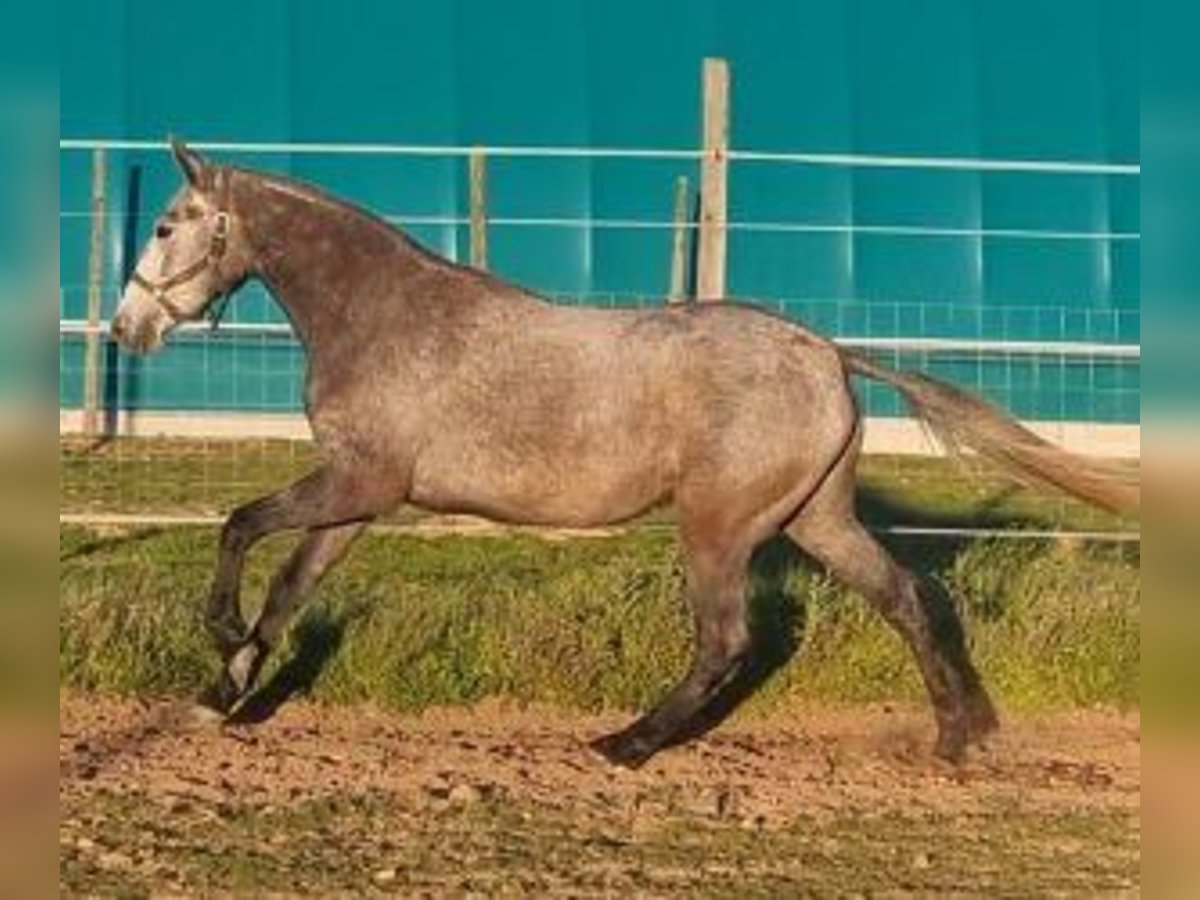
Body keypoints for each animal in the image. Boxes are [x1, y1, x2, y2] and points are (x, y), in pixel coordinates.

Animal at [110, 142, 1132, 768]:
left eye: (165, 225)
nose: (127, 328)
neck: (381, 314)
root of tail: (829, 354)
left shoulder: (362, 479)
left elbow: (240, 526)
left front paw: (220, 643)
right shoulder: (360, 497)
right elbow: (289, 588)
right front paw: (219, 695)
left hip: (717, 526)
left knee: (727, 642)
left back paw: (627, 744)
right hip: (815, 519)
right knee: (907, 597)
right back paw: (956, 738)